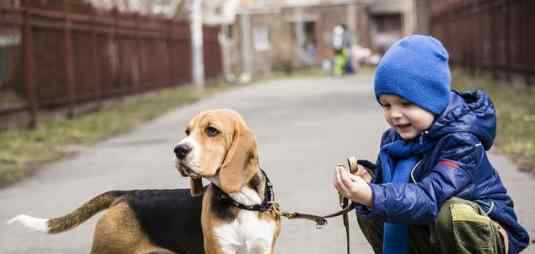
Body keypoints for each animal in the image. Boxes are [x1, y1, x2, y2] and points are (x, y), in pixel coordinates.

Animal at [8, 109, 280, 254]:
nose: (178, 150)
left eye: (212, 131)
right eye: (187, 132)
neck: (242, 203)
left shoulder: (263, 248)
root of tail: (124, 195)